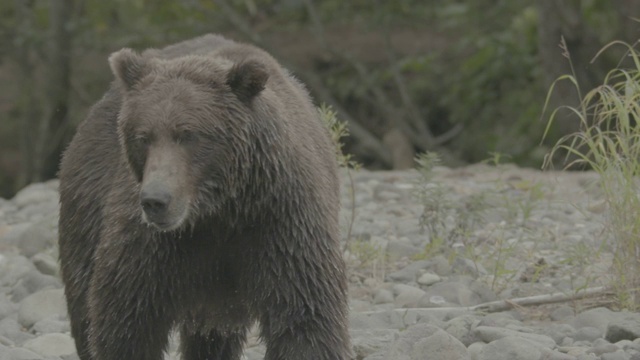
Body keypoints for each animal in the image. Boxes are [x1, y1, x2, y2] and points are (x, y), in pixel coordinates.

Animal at [57, 34, 352, 360]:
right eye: (143, 137)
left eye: (189, 134)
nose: (155, 200)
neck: (218, 211)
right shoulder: (150, 247)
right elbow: (127, 322)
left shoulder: (280, 220)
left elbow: (305, 317)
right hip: (87, 205)